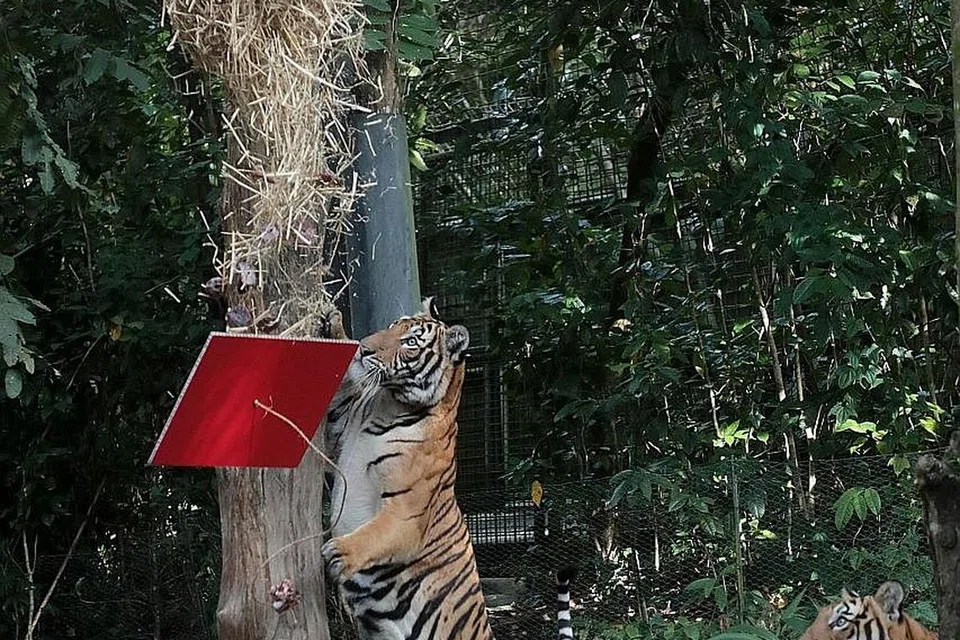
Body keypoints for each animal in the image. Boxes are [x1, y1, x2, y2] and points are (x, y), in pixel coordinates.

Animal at [320, 299, 576, 639]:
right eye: (391, 326)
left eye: (410, 342)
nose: (364, 349)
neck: (386, 405)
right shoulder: (339, 428)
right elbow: (345, 385)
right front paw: (335, 324)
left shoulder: (406, 512)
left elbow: (375, 533)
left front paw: (339, 552)